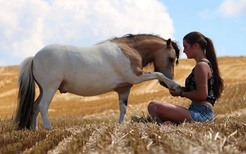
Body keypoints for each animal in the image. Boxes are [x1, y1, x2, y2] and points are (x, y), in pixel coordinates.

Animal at [14, 34, 181, 130]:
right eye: (171, 58)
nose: (166, 84)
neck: (130, 50)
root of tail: (34, 57)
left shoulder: (124, 89)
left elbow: (123, 108)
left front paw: (120, 125)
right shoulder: (136, 76)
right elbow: (158, 73)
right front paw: (175, 86)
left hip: (43, 89)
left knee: (34, 107)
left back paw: (35, 130)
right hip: (50, 87)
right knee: (42, 106)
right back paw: (48, 128)